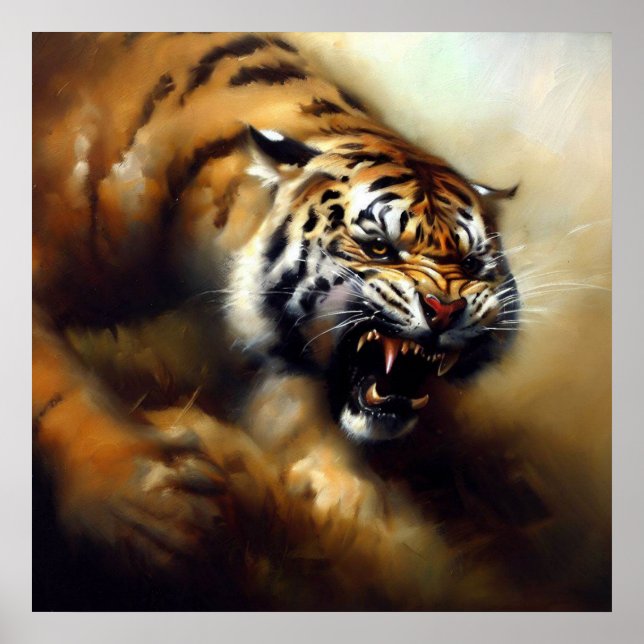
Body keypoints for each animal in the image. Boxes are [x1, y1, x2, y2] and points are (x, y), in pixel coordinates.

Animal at [32, 33, 523, 609]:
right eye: (379, 245)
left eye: (472, 261)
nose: (444, 309)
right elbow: (56, 385)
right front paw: (143, 504)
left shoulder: (278, 374)